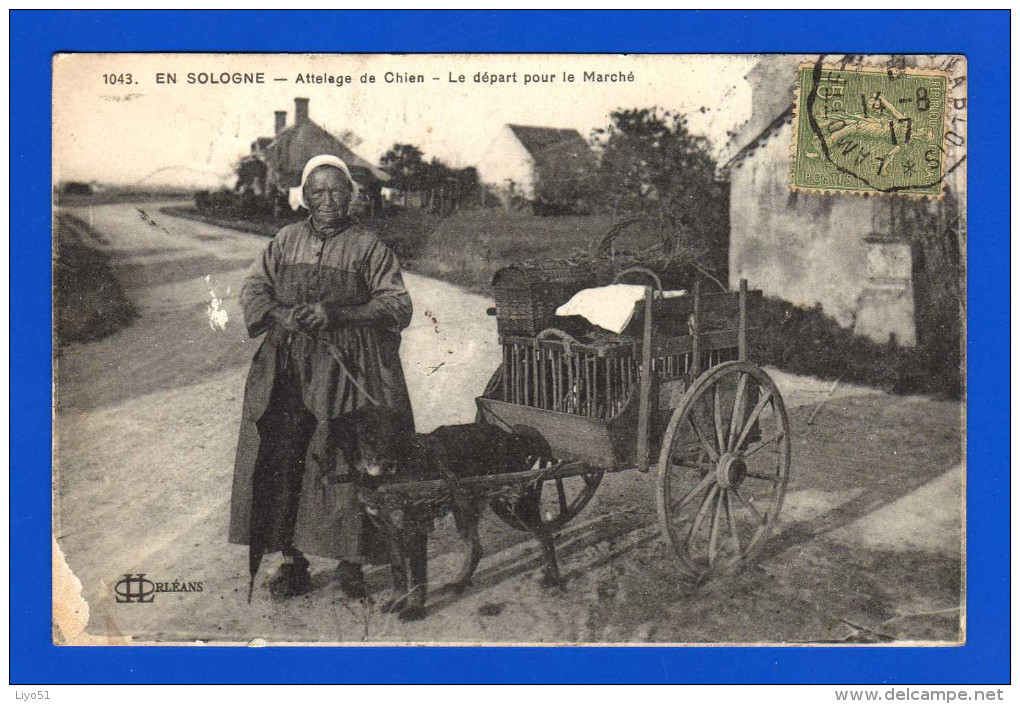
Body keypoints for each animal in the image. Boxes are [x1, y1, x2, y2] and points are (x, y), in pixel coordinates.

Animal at [330, 406, 563, 620]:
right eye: (368, 436)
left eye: (393, 436)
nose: (388, 465)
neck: (382, 482)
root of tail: (510, 436)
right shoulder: (389, 532)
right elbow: (398, 571)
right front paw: (397, 600)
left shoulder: (414, 529)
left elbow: (416, 576)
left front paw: (414, 609)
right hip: (466, 508)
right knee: (475, 548)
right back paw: (460, 582)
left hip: (513, 502)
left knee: (544, 534)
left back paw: (553, 577)